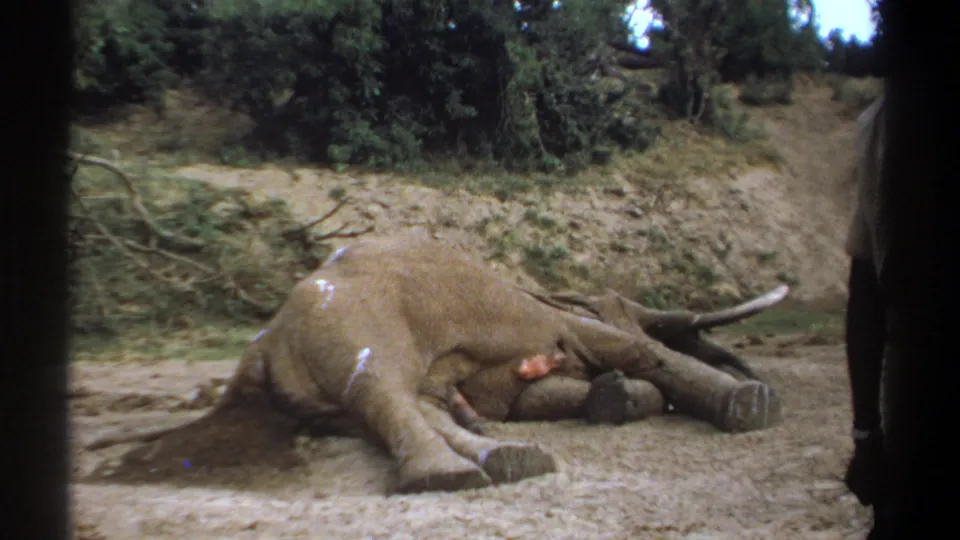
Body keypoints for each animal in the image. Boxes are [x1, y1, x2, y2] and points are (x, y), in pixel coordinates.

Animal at [87, 232, 787, 495]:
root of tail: (258, 350)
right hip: (357, 324)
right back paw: (450, 476)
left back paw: (506, 459)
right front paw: (752, 406)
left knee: (392, 408)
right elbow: (631, 348)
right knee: (383, 391)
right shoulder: (552, 320)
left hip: (319, 389)